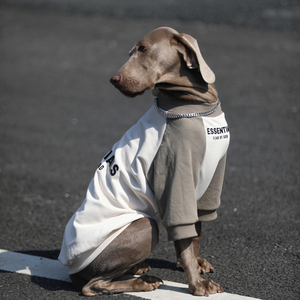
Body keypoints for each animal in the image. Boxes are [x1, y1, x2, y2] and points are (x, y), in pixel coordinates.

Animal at [58, 27, 230, 296]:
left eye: (142, 49)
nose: (113, 80)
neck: (198, 105)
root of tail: (72, 272)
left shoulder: (212, 178)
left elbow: (196, 230)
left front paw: (197, 263)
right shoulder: (176, 177)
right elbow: (184, 233)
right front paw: (196, 284)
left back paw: (139, 268)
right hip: (144, 226)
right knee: (92, 286)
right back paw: (142, 281)